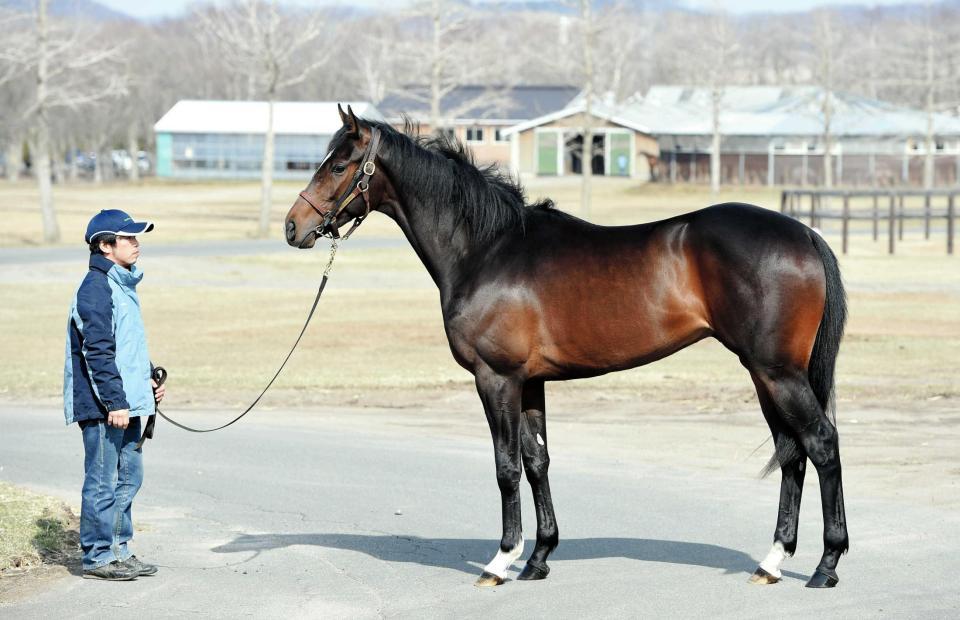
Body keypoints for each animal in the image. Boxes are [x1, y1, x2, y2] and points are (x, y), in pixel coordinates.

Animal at [284, 105, 848, 589]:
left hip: (776, 371)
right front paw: (538, 558)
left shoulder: (496, 379)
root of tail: (804, 234)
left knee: (820, 443)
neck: (487, 248)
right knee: (792, 453)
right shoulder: (531, 382)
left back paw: (826, 564)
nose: (294, 227)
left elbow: (506, 467)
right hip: (765, 374)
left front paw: (501, 560)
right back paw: (773, 562)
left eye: (338, 165)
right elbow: (537, 461)